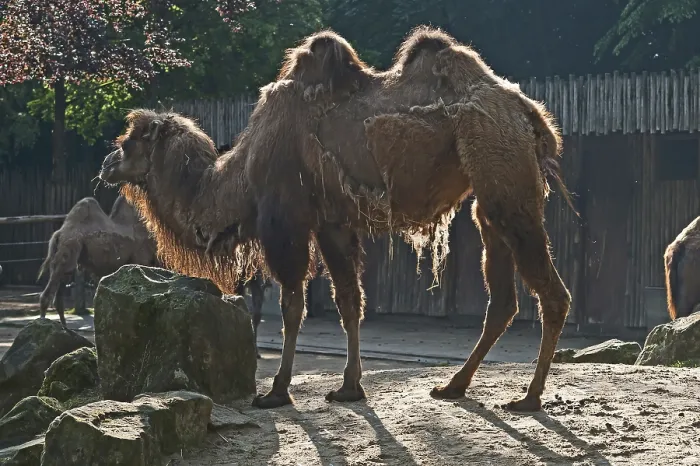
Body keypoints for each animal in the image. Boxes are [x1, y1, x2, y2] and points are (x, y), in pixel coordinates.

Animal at [37, 196, 157, 326]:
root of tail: (58, 234)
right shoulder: (141, 260)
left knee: (62, 281)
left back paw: (64, 328)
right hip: (69, 245)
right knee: (55, 282)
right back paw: (43, 322)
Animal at [98, 26, 574, 412]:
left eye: (130, 141)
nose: (106, 165)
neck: (241, 176)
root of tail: (530, 113)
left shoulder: (285, 221)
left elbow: (293, 305)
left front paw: (277, 390)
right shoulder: (332, 223)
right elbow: (349, 301)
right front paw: (349, 387)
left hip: (502, 172)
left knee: (552, 292)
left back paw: (529, 397)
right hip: (488, 198)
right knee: (503, 296)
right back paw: (453, 386)